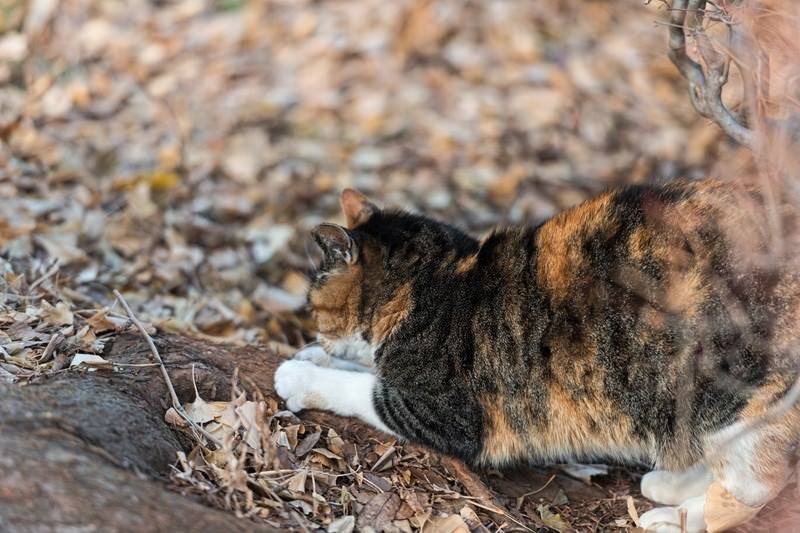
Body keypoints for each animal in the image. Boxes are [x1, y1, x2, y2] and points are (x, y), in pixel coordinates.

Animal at [276, 183, 800, 532]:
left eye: (312, 306)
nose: (316, 335)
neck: (435, 284)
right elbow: (363, 368)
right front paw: (316, 357)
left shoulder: (439, 410)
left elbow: (361, 388)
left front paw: (301, 374)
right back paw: (670, 484)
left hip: (732, 396)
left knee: (757, 483)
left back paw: (677, 517)